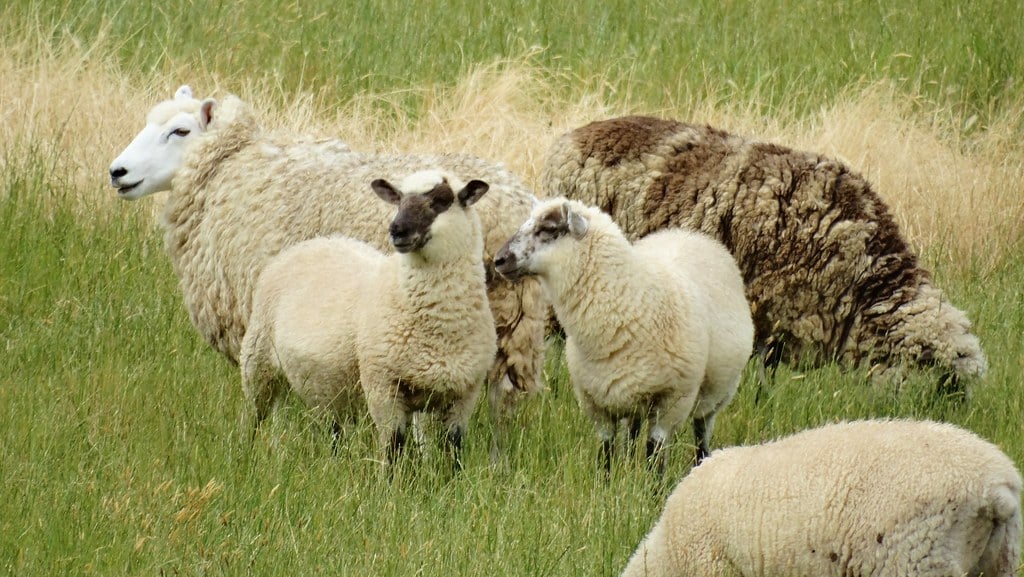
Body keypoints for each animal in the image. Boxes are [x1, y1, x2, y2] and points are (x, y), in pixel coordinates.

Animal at [239, 169, 495, 467]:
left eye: (442, 201)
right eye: (398, 200)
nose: (397, 230)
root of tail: (317, 241)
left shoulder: (463, 396)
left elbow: (453, 452)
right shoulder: (382, 387)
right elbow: (393, 448)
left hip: (329, 386)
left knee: (332, 431)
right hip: (258, 362)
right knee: (254, 417)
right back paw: (245, 456)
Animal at [491, 198, 757, 473]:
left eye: (549, 228)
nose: (498, 260)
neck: (628, 300)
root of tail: (689, 235)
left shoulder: (672, 400)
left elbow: (655, 457)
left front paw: (651, 485)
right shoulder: (596, 402)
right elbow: (606, 454)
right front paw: (609, 481)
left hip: (716, 393)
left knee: (701, 435)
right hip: (633, 397)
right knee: (632, 435)